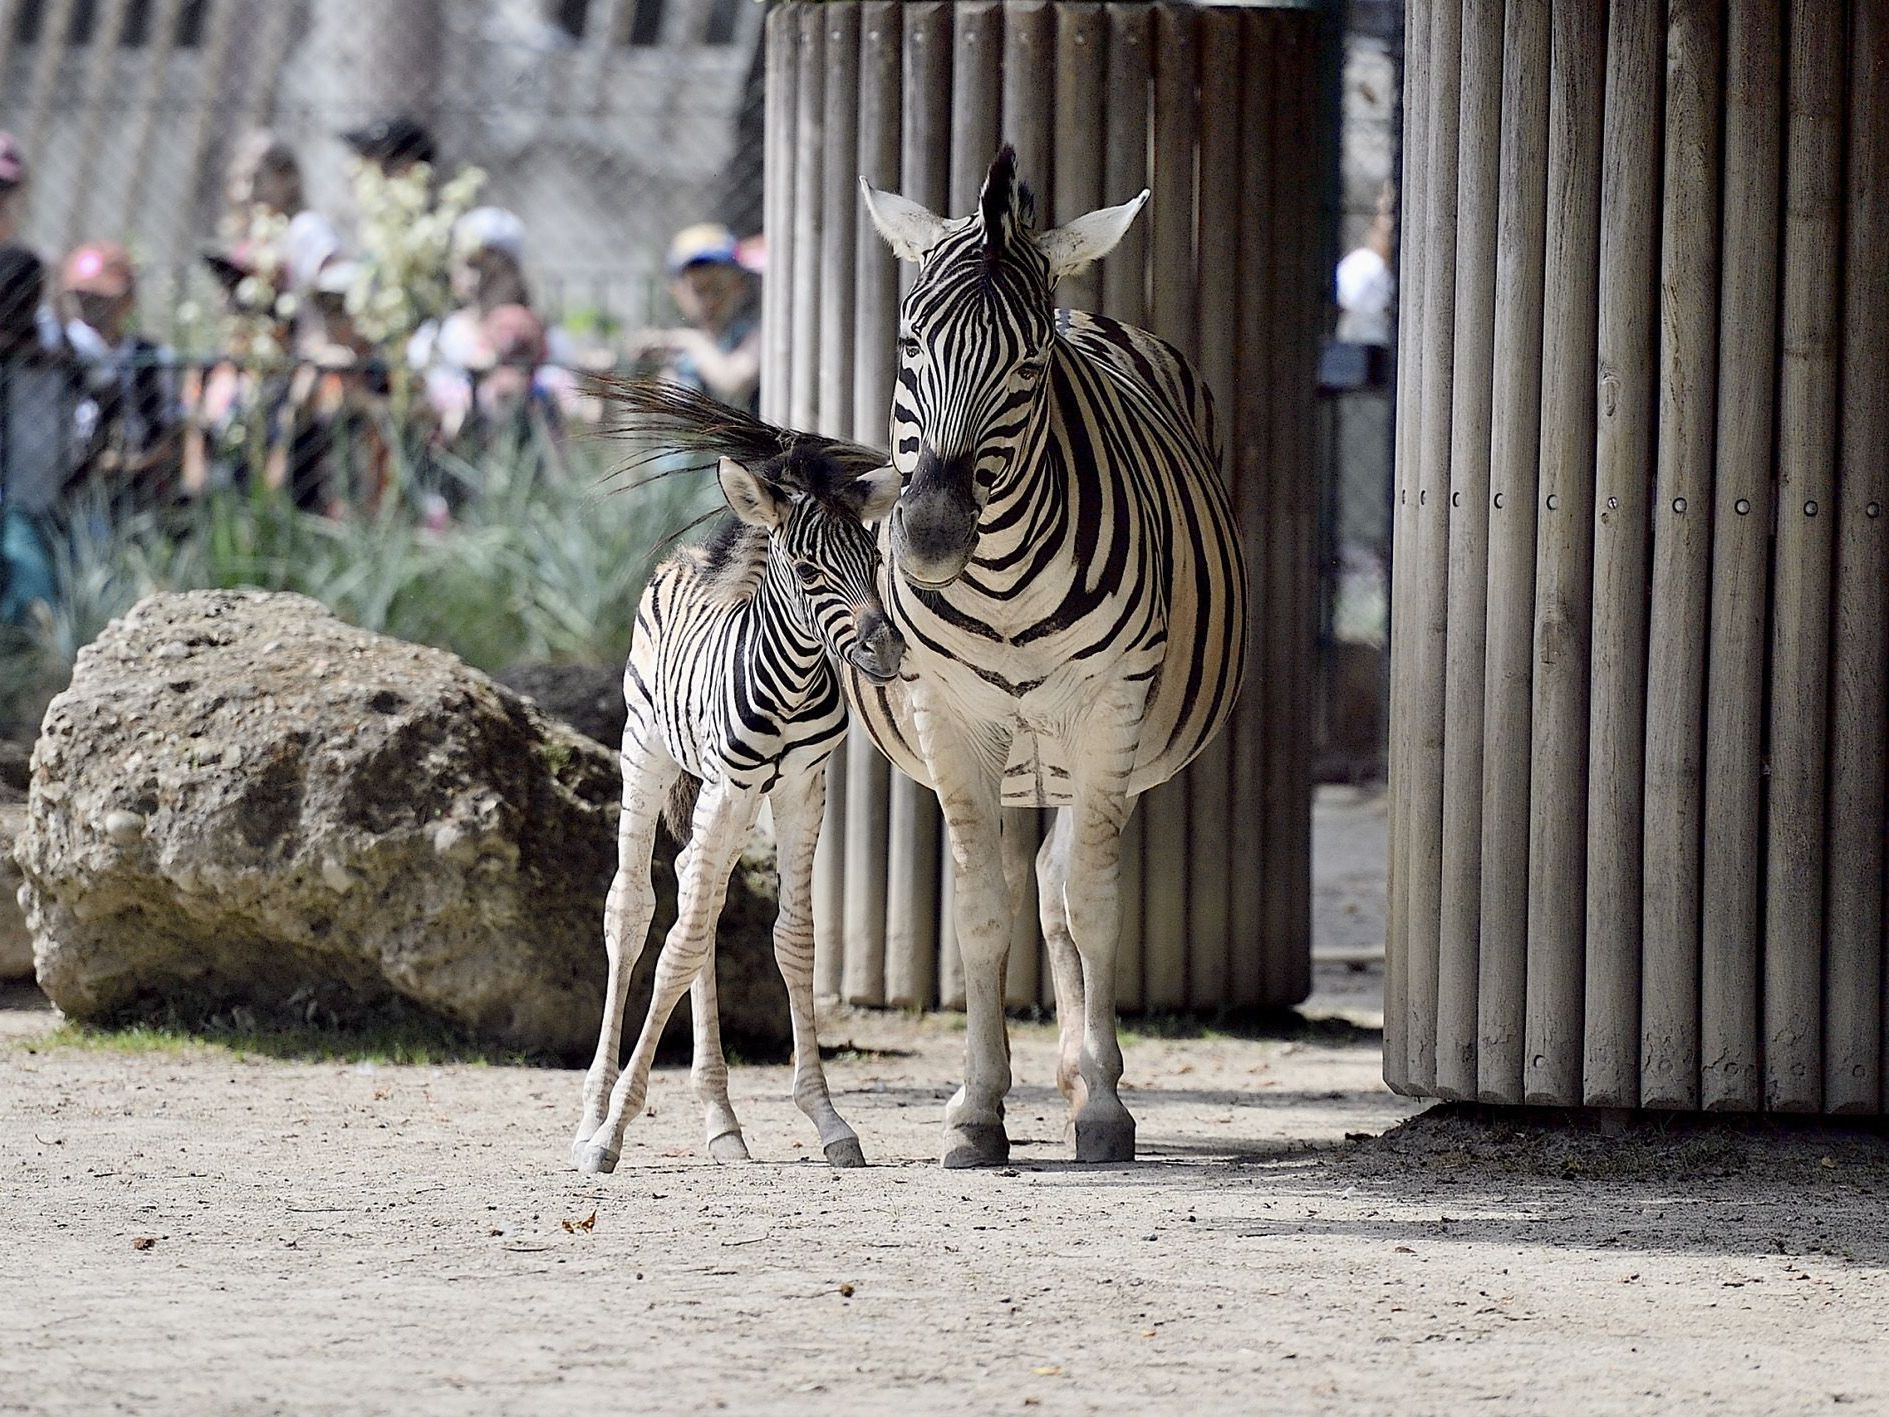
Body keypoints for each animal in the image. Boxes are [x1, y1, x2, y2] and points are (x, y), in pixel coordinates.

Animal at [570, 383, 902, 1178]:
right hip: (648, 753)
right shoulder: (728, 784)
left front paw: (827, 1118)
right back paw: (591, 1111)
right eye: (808, 572)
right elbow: (677, 947)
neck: (793, 681)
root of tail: (689, 555)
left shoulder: (802, 788)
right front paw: (612, 1130)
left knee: (697, 887)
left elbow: (793, 938)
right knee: (634, 909)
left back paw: (722, 1120)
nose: (884, 651)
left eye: (875, 556)